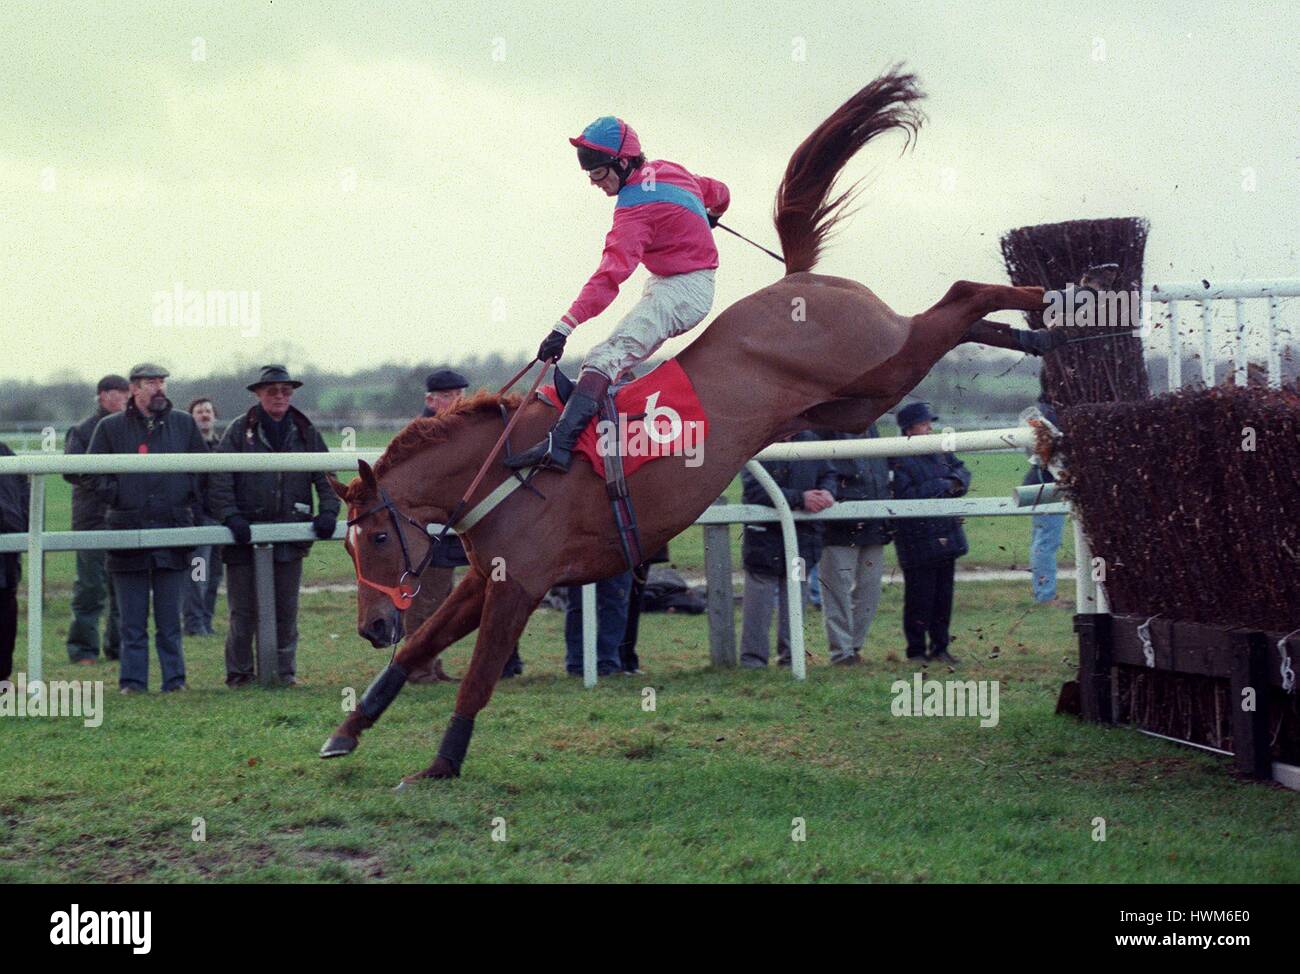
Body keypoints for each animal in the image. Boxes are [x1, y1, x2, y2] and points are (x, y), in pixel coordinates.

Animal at [319, 68, 1050, 780]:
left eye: (377, 538)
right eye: (348, 547)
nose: (371, 626)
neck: (503, 467)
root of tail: (801, 279)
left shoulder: (519, 585)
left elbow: (475, 681)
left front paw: (441, 765)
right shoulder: (483, 579)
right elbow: (418, 648)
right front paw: (347, 730)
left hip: (882, 367)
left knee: (958, 296)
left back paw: (1040, 301)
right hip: (857, 399)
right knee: (957, 318)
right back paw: (1031, 332)